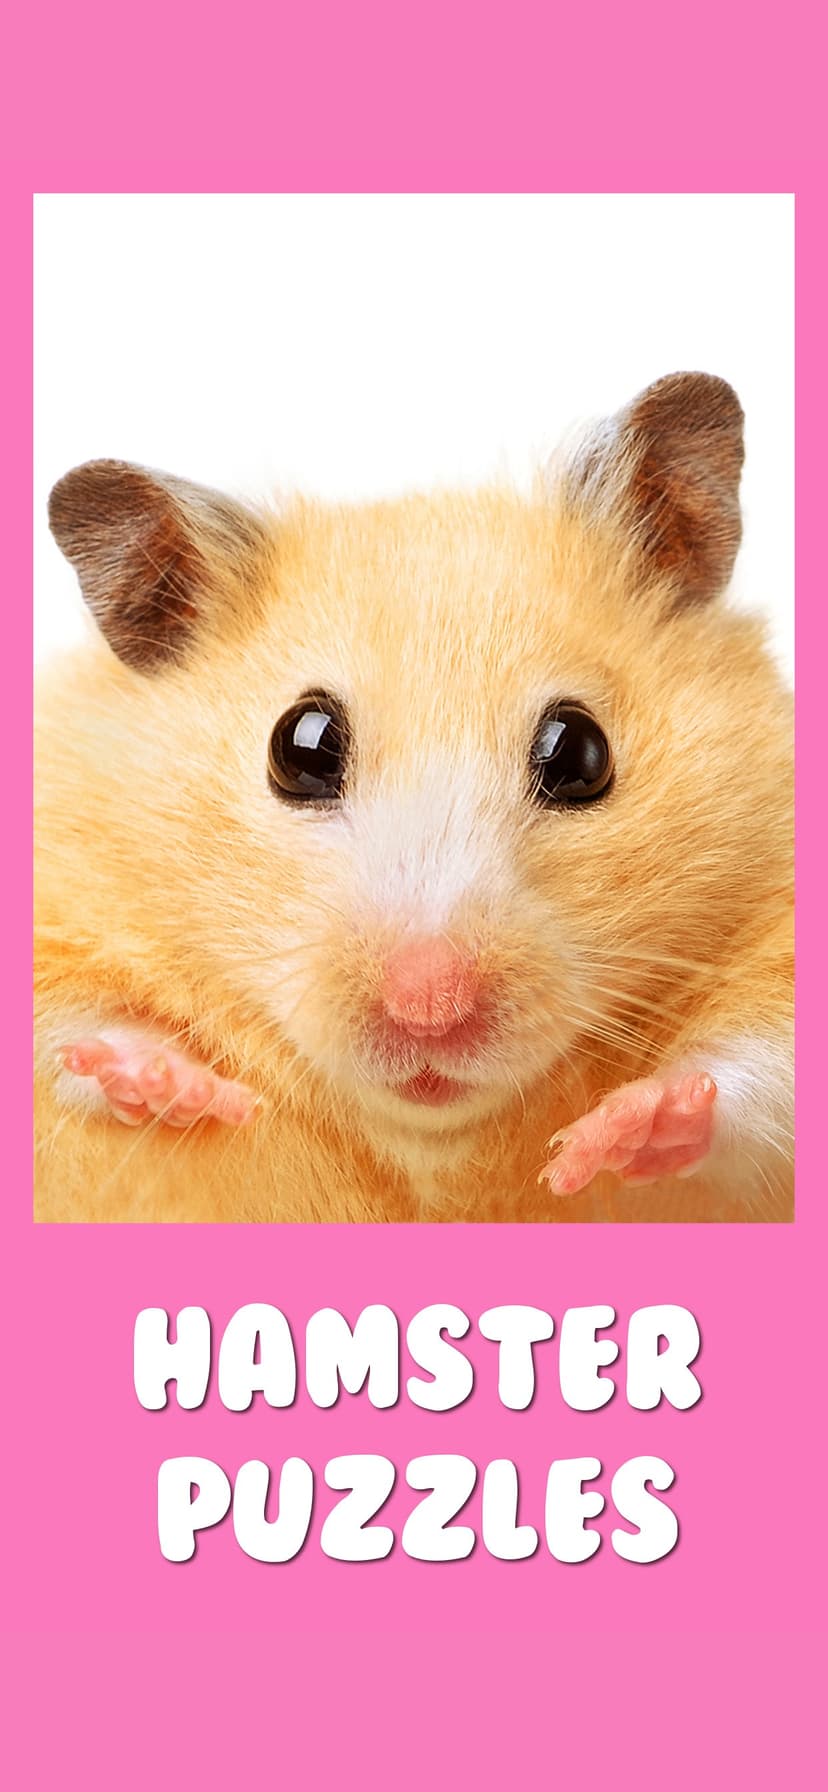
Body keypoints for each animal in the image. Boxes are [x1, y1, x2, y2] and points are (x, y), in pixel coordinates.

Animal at [34, 372, 793, 1223]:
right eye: (301, 748)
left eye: (580, 753)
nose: (431, 1008)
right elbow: (69, 1025)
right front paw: (175, 1084)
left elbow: (754, 1072)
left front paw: (624, 1127)